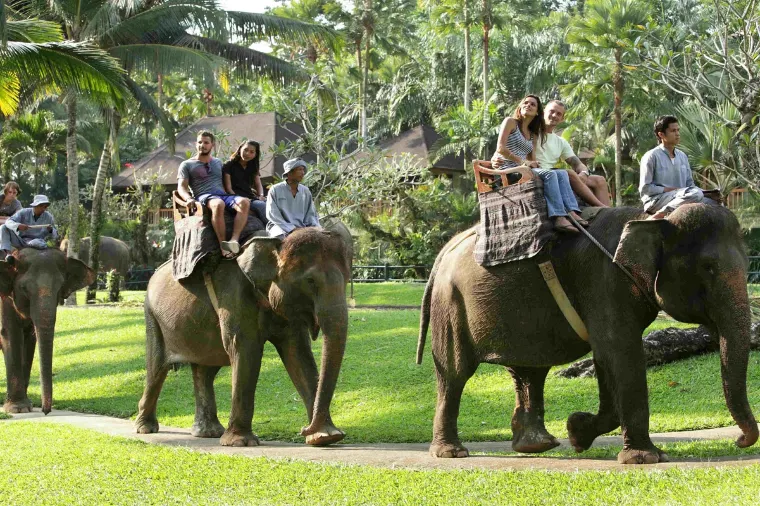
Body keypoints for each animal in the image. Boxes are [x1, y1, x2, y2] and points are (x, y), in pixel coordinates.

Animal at [0, 249, 95, 414]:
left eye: (60, 288)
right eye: (24, 289)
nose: (45, 411)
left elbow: (30, 341)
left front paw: (27, 406)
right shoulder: (4, 302)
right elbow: (11, 335)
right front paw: (18, 409)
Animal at [135, 226, 351, 447]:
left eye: (347, 279)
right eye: (310, 281)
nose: (303, 429)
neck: (274, 244)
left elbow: (298, 354)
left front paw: (325, 437)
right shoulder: (234, 296)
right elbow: (246, 350)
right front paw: (240, 442)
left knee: (205, 370)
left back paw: (209, 432)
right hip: (152, 316)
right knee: (157, 367)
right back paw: (145, 428)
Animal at [417, 204, 758, 464]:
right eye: (708, 268)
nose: (740, 441)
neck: (652, 218)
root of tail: (445, 248)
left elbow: (607, 357)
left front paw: (577, 433)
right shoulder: (604, 282)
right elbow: (621, 353)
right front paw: (645, 458)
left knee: (529, 369)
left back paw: (537, 445)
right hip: (451, 304)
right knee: (454, 374)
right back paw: (452, 453)